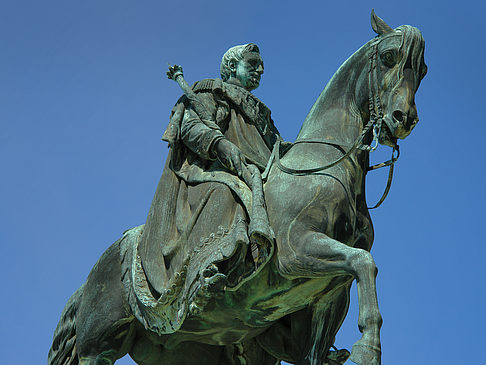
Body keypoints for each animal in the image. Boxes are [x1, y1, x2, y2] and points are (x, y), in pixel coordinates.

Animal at [48, 11, 426, 364]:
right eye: (389, 56)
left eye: (422, 69)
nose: (403, 119)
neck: (320, 165)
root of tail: (89, 280)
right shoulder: (297, 250)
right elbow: (365, 262)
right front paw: (368, 349)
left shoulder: (328, 296)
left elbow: (356, 276)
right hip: (98, 348)